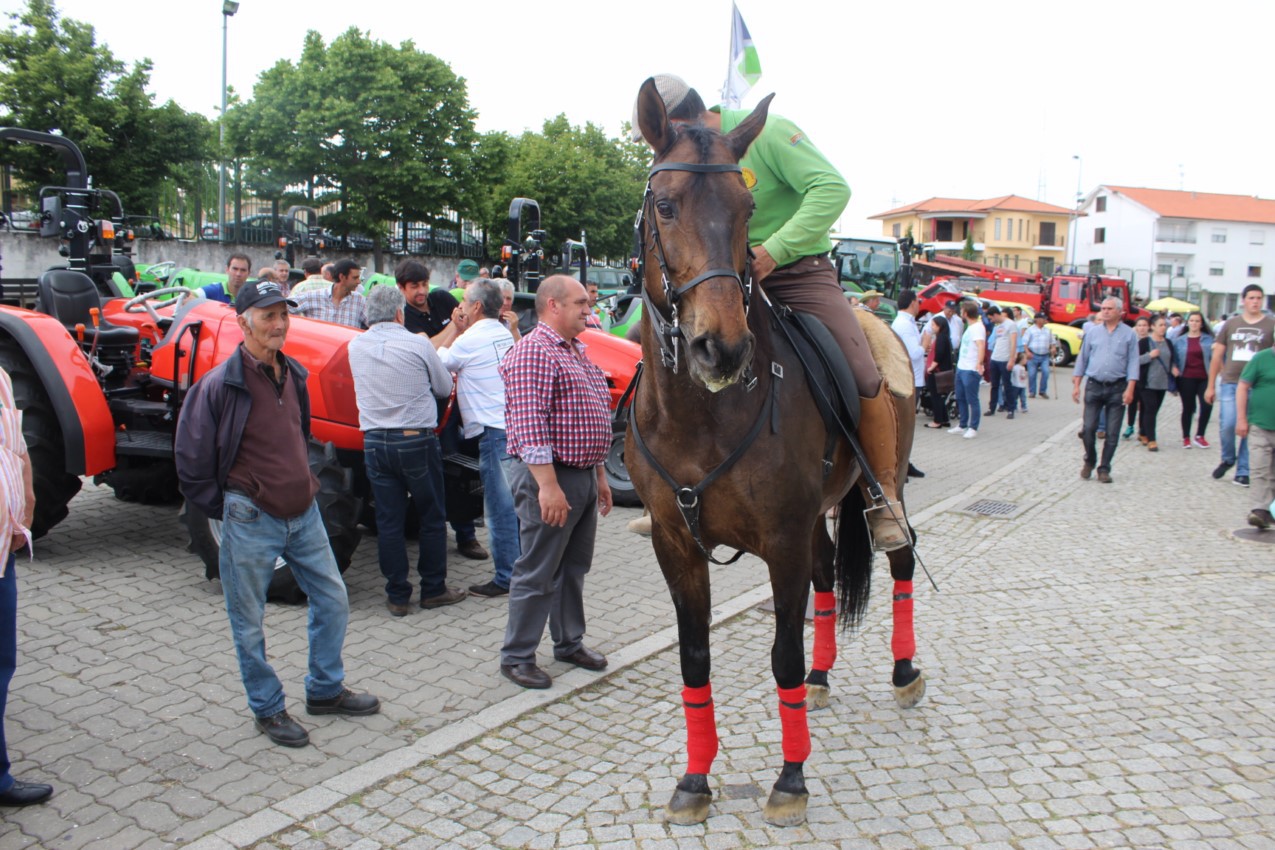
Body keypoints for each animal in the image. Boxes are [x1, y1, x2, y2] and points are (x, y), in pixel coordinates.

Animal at [627, 78, 928, 825]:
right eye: (665, 204)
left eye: (746, 209)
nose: (721, 347)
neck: (701, 416)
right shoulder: (676, 545)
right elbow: (695, 661)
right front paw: (695, 780)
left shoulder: (783, 539)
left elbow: (782, 656)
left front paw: (791, 778)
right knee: (827, 575)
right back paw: (824, 676)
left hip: (883, 491)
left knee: (899, 558)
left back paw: (904, 671)